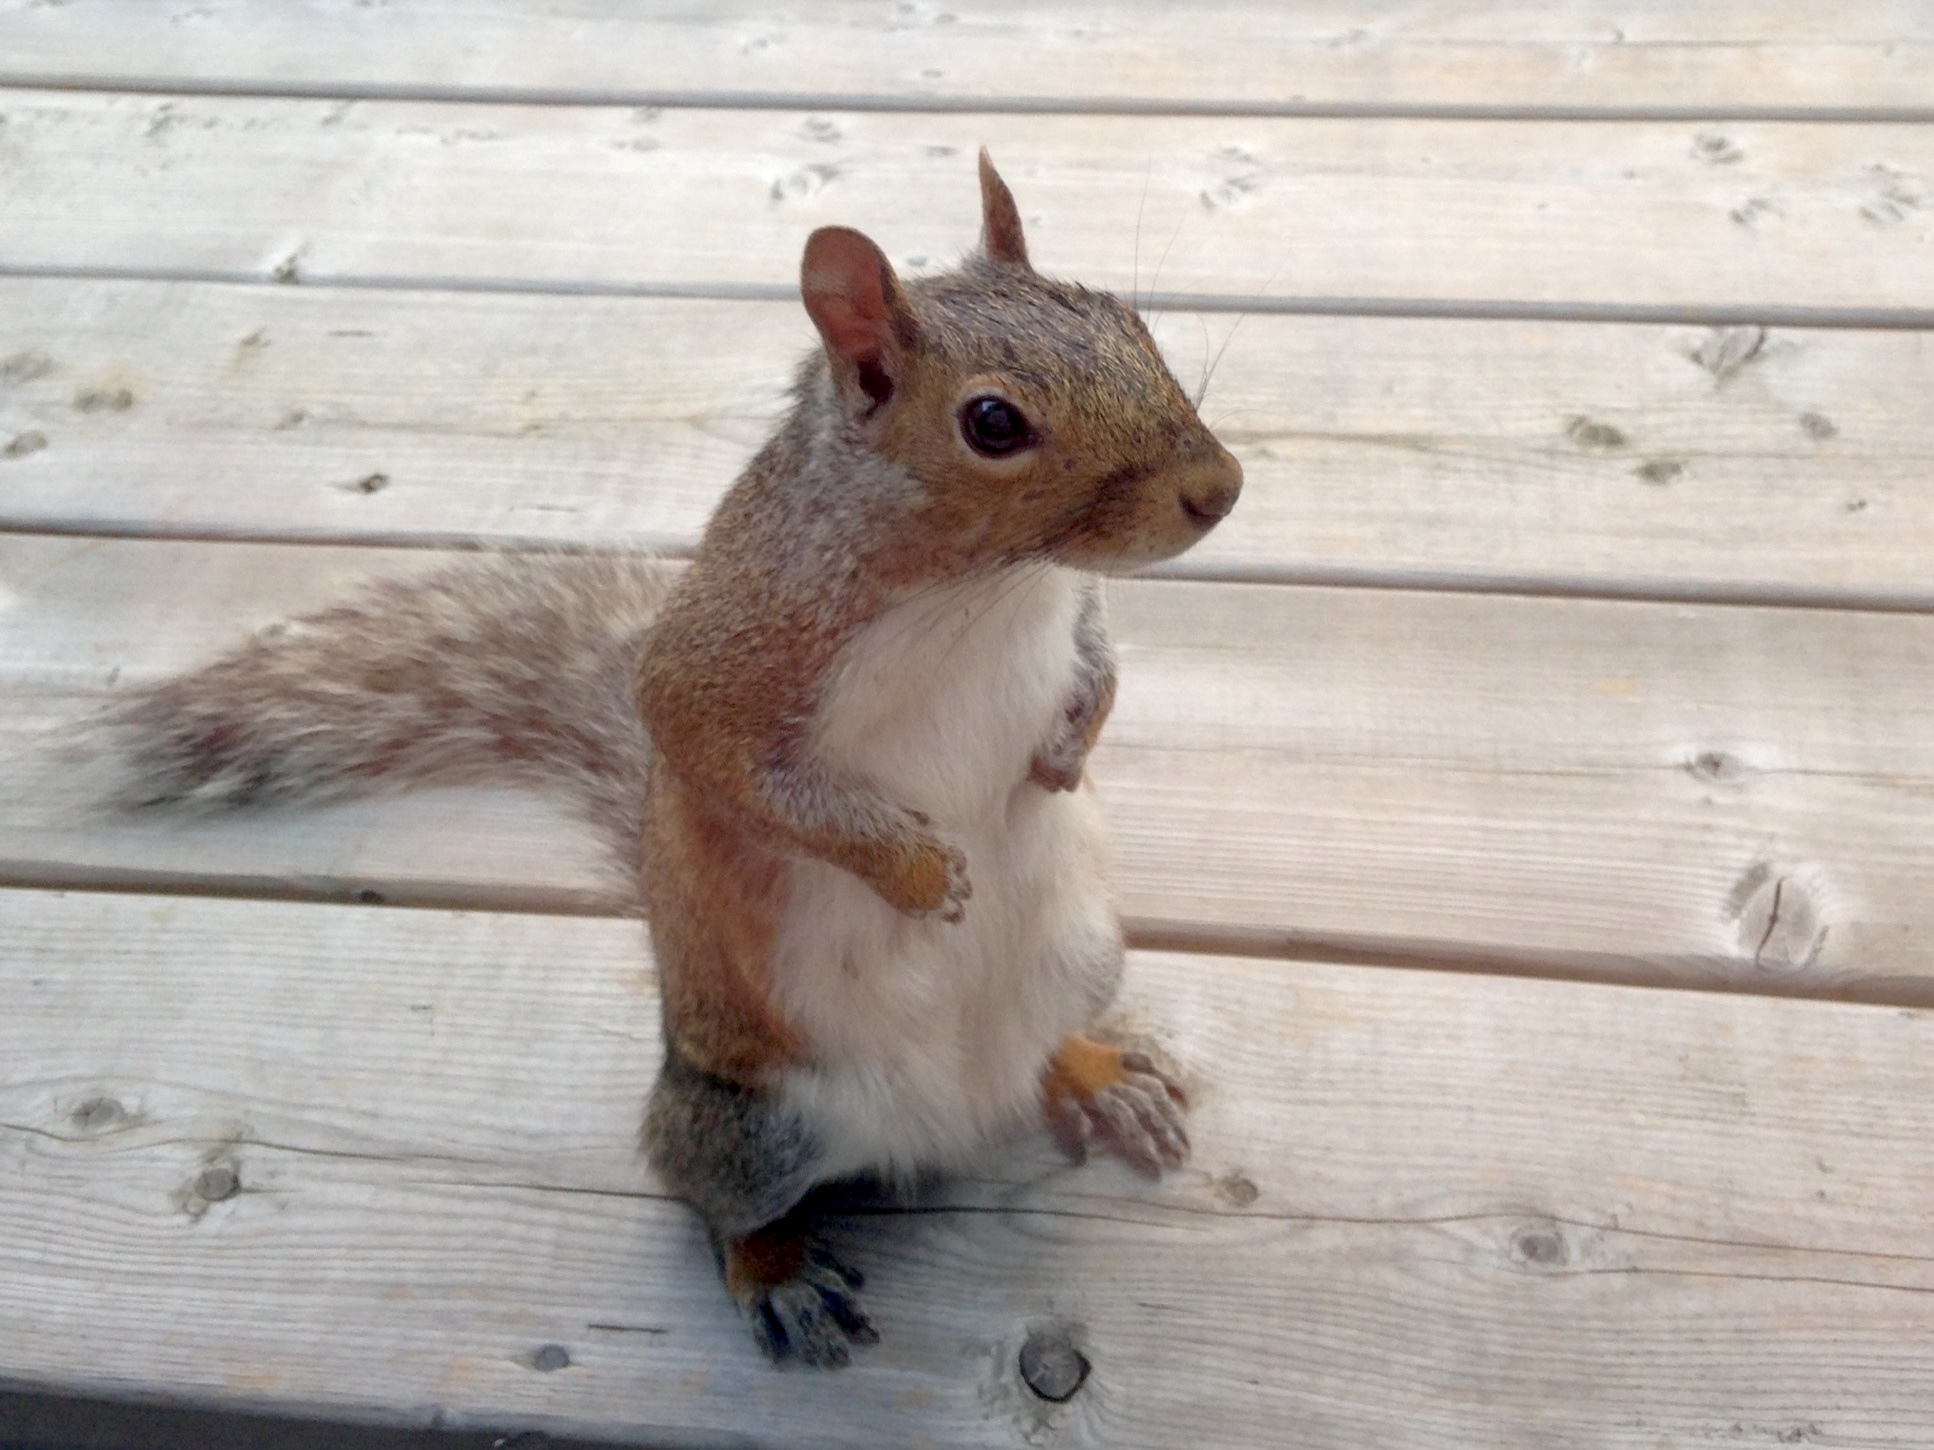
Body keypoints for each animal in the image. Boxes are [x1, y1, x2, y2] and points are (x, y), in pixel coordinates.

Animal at [111, 152, 1243, 1367]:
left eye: (1124, 316)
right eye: (992, 422)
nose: (1219, 488)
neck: (985, 586)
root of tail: (954, 1116)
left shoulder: (1061, 613)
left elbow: (1098, 664)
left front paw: (1065, 754)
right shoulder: (717, 660)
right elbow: (735, 770)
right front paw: (916, 871)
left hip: (1082, 961)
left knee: (1040, 1049)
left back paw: (1092, 1074)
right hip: (755, 1123)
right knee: (707, 1195)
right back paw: (776, 1272)